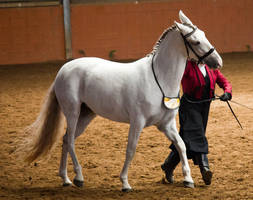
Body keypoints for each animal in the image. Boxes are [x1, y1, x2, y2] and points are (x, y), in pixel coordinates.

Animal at [20, 10, 222, 191]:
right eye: (196, 41)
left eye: (204, 35)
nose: (217, 62)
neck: (159, 79)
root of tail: (63, 70)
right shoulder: (137, 122)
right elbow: (131, 149)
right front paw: (125, 183)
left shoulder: (166, 125)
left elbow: (181, 145)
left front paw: (188, 179)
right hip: (72, 112)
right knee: (69, 140)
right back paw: (78, 177)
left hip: (86, 114)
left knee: (66, 140)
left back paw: (66, 179)